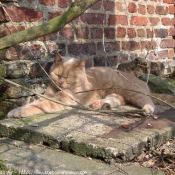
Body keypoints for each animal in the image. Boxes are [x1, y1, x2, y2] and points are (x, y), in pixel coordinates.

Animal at [7, 52, 160, 117]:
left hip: (131, 90)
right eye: (57, 75)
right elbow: (36, 102)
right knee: (117, 99)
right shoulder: (48, 95)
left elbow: (39, 105)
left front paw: (17, 112)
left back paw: (147, 110)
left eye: (68, 77)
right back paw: (99, 104)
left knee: (147, 100)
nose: (60, 82)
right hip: (117, 93)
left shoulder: (63, 99)